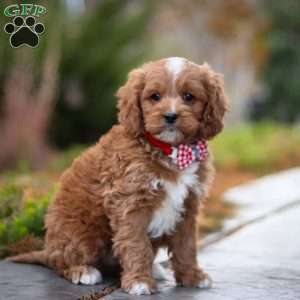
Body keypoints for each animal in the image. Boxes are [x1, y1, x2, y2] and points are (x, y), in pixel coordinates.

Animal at [10, 56, 229, 296]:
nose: (170, 116)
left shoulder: (188, 205)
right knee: (60, 261)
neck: (171, 150)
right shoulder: (131, 202)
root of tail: (48, 248)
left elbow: (186, 245)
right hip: (82, 235)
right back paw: (82, 271)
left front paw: (192, 276)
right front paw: (139, 282)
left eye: (189, 97)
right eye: (155, 96)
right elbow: (136, 244)